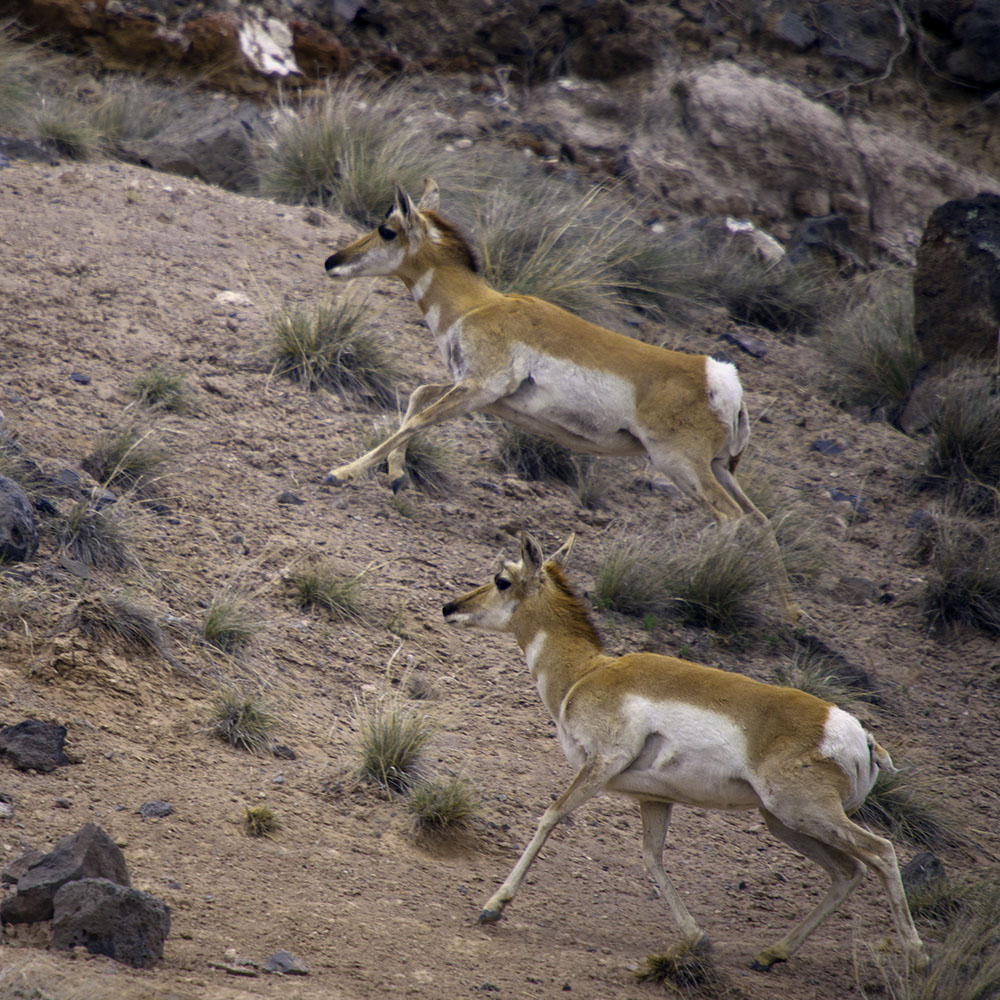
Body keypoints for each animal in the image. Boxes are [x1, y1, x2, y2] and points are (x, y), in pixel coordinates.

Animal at [324, 178, 800, 616]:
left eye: (386, 230)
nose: (332, 261)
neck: (478, 306)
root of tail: (719, 377)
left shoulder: (479, 388)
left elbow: (418, 418)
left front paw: (341, 473)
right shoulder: (478, 394)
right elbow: (417, 399)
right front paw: (396, 477)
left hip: (681, 466)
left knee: (731, 519)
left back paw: (698, 579)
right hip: (718, 469)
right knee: (759, 521)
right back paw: (790, 613)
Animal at [442, 536, 924, 972]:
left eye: (502, 580)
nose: (449, 607)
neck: (586, 674)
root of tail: (858, 735)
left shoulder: (601, 765)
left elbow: (551, 815)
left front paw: (494, 905)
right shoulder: (654, 798)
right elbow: (652, 856)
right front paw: (697, 937)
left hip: (805, 813)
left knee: (881, 852)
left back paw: (915, 955)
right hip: (784, 820)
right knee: (847, 872)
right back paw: (771, 954)